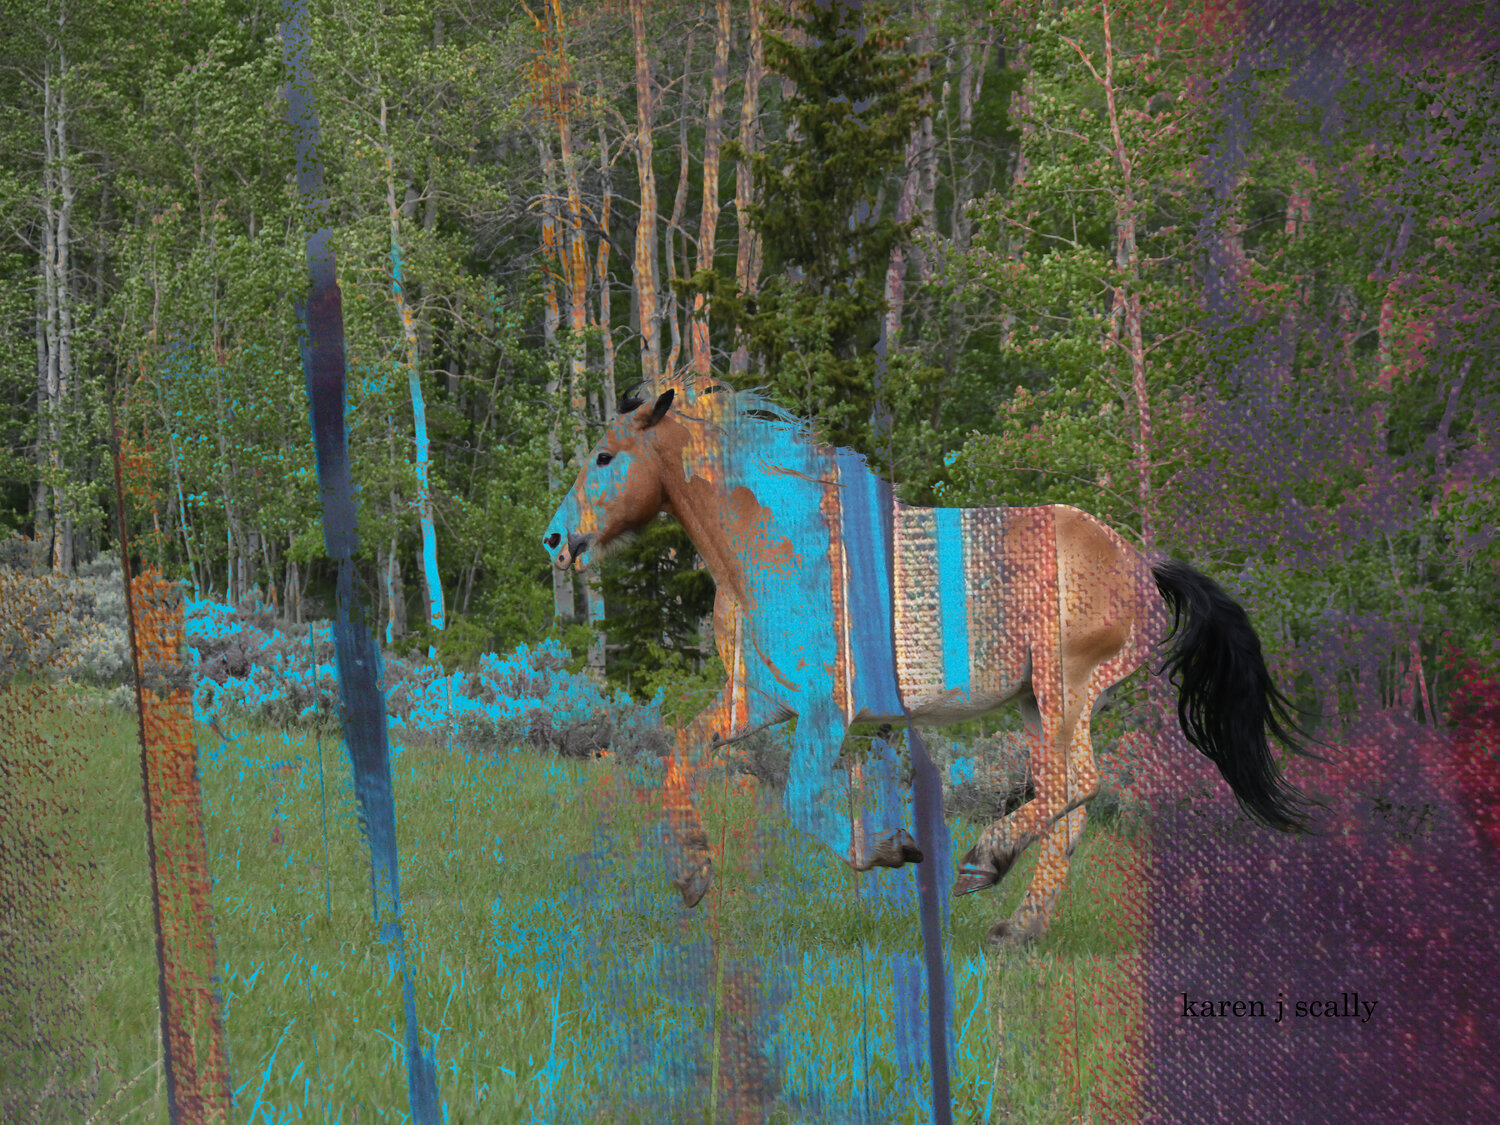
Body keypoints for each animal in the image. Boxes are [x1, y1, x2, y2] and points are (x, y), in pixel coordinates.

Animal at [542, 379, 1323, 944]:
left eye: (605, 456)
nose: (555, 539)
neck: (778, 553)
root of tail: (1140, 562)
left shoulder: (827, 708)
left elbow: (800, 800)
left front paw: (890, 848)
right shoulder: (759, 700)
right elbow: (681, 751)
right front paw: (692, 874)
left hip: (1065, 690)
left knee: (1079, 785)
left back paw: (987, 859)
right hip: (1042, 706)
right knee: (1070, 803)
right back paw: (1015, 925)